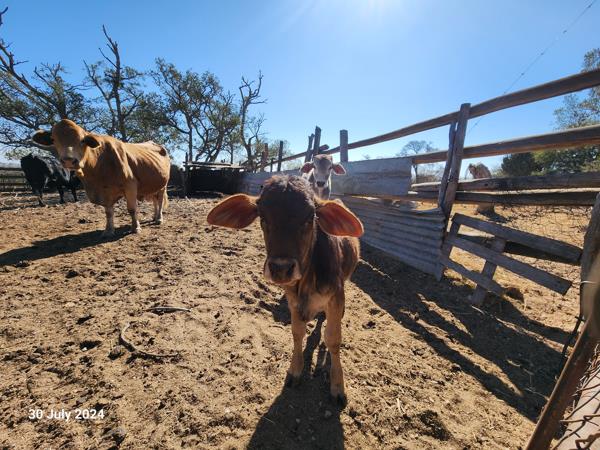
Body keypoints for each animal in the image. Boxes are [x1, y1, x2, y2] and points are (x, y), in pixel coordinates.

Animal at [31, 119, 170, 236]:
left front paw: (135, 228)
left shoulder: (130, 185)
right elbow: (108, 212)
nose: (69, 160)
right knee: (155, 201)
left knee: (159, 200)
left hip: (163, 185)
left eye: (82, 140)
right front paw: (108, 231)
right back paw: (154, 216)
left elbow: (132, 209)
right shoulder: (104, 193)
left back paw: (159, 218)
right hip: (153, 185)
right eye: (54, 139)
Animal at [207, 175, 363, 406]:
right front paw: (295, 370)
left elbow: (333, 340)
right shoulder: (292, 300)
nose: (281, 268)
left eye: (310, 217)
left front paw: (337, 386)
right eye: (262, 216)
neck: (306, 281)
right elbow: (297, 333)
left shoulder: (336, 297)